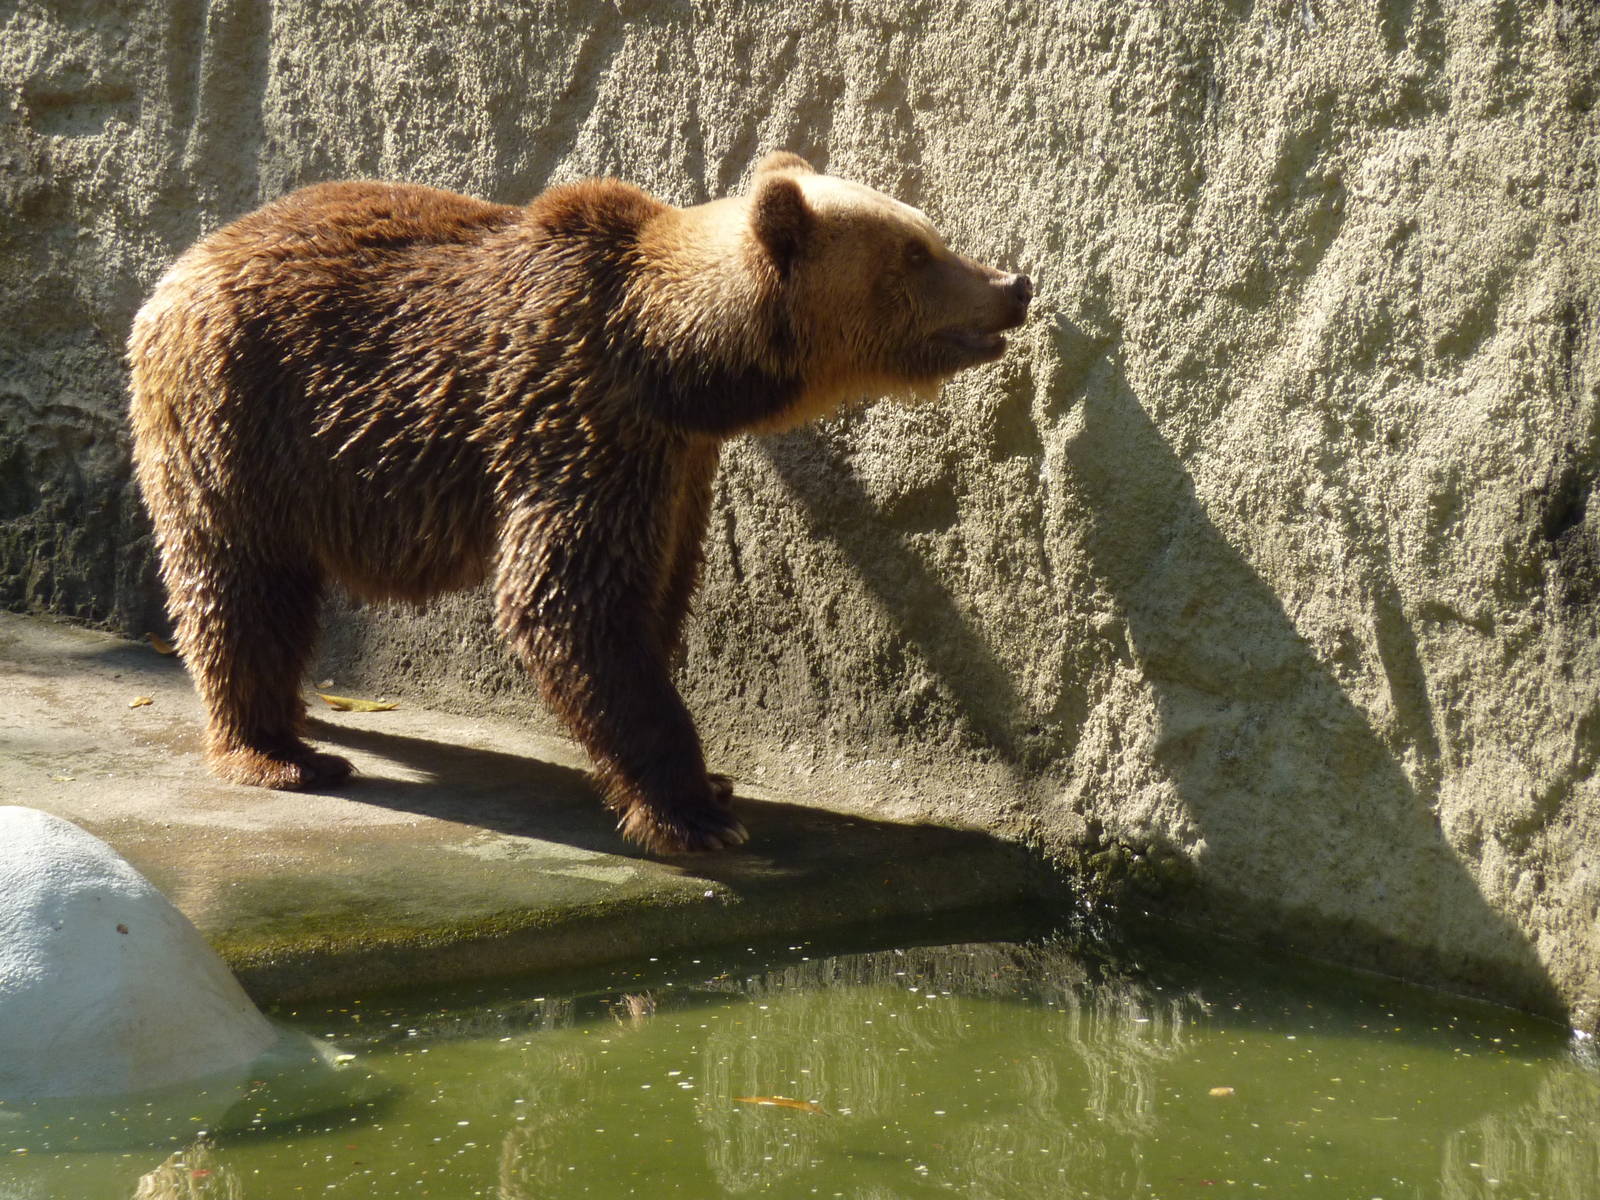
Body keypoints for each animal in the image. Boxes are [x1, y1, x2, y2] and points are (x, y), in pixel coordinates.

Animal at [126, 152, 1033, 854]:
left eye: (928, 232)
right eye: (914, 251)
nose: (1014, 283)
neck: (678, 364)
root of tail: (179, 266)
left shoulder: (677, 465)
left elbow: (655, 594)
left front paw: (713, 784)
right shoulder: (578, 418)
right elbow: (572, 602)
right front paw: (694, 812)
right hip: (243, 418)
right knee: (242, 584)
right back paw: (280, 752)